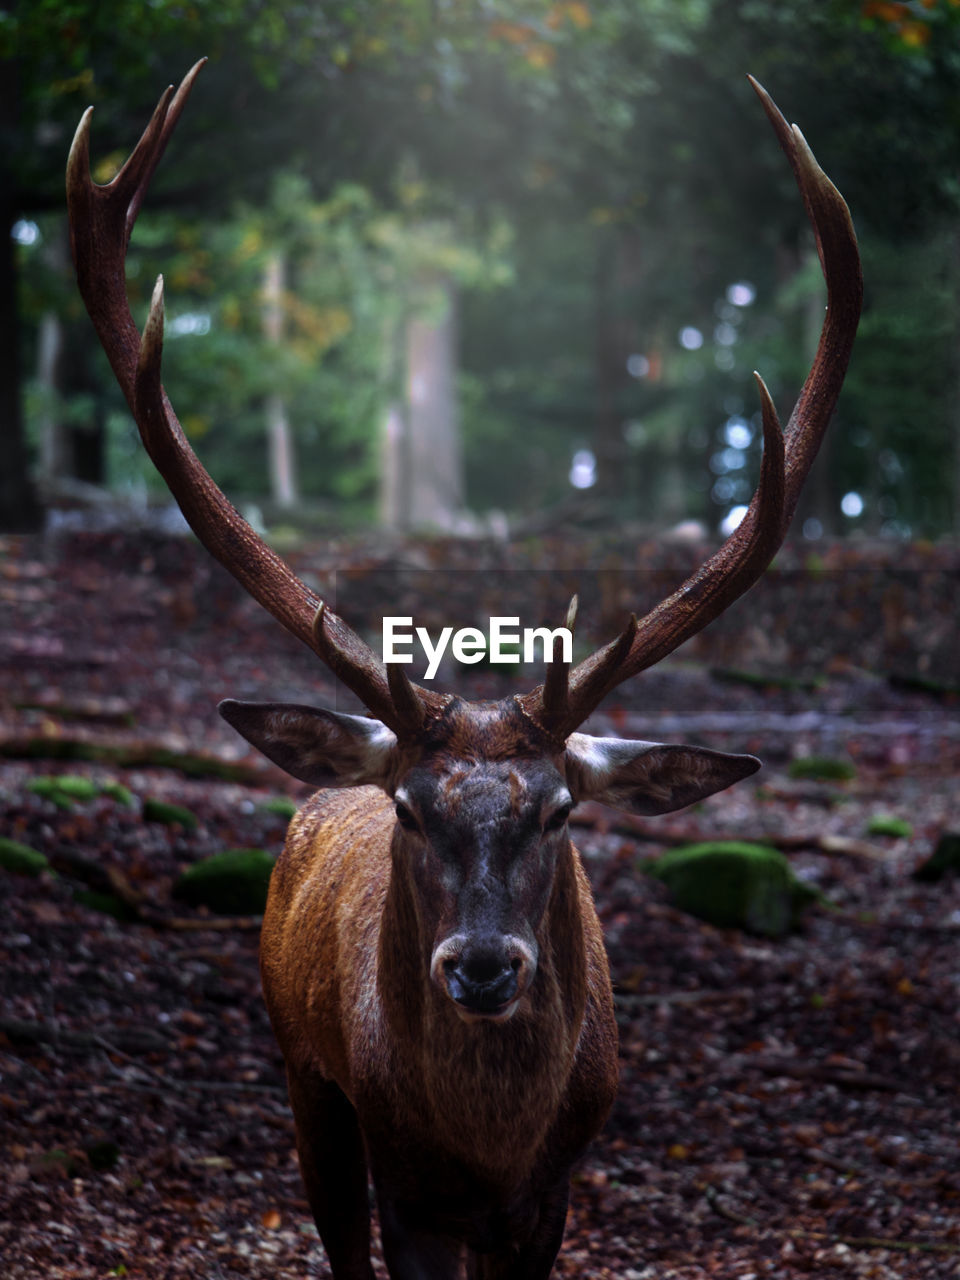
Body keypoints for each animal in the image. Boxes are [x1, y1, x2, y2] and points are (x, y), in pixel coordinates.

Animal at [67, 67, 865, 1280]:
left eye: (560, 812)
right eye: (407, 806)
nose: (484, 964)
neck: (490, 1150)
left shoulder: (556, 1189)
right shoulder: (406, 1183)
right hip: (302, 1076)